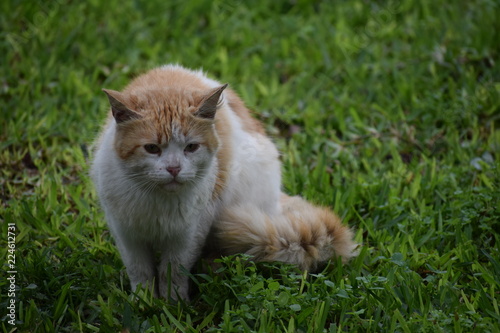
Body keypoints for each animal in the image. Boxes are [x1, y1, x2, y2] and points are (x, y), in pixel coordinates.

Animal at [89, 63, 356, 300]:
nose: (174, 168)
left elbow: (173, 271)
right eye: (152, 148)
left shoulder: (190, 234)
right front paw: (144, 302)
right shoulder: (126, 235)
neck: (158, 201)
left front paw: (173, 304)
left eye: (191, 147)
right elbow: (140, 272)